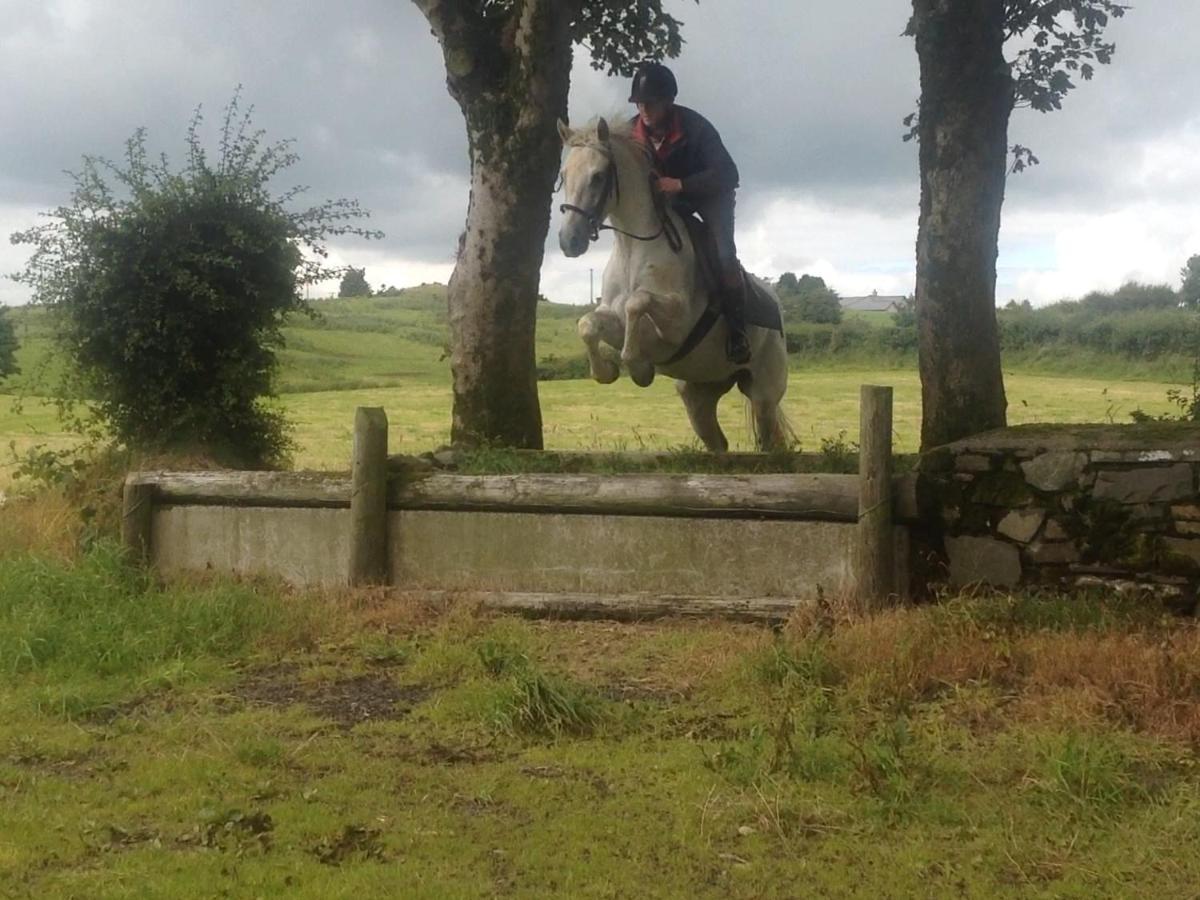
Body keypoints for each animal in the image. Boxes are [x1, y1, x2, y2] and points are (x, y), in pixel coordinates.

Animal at [556, 116, 792, 453]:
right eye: (563, 175)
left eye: (598, 176)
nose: (569, 241)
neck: (633, 248)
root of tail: (777, 311)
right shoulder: (611, 317)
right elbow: (588, 324)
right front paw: (606, 371)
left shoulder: (676, 325)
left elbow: (637, 303)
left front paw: (638, 368)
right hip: (698, 393)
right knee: (717, 442)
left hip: (764, 393)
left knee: (769, 438)